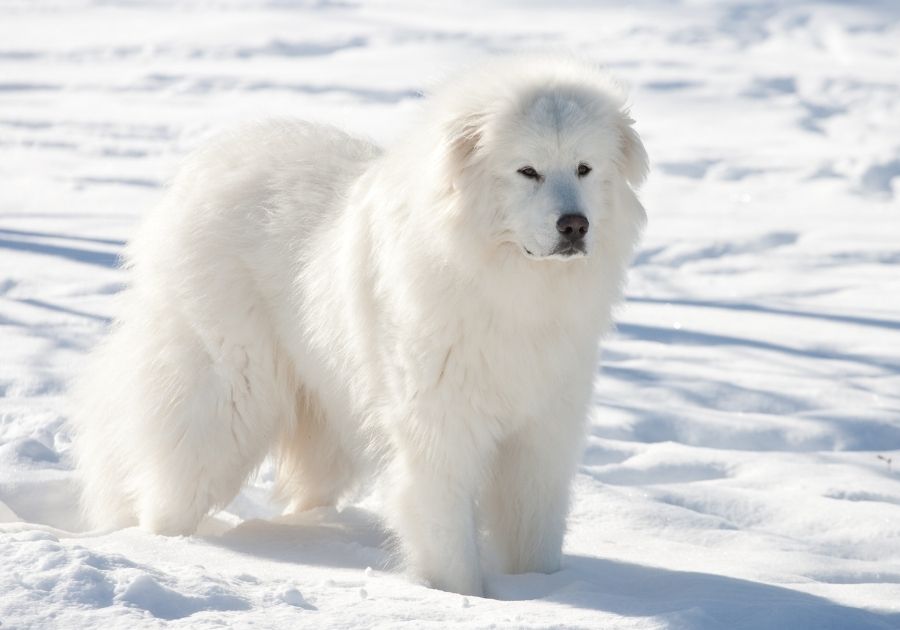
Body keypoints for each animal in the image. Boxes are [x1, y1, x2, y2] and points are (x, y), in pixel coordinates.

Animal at [72, 55, 648, 596]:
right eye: (527, 170)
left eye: (584, 168)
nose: (574, 226)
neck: (508, 286)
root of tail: (203, 167)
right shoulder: (438, 431)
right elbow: (447, 537)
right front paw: (461, 598)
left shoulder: (542, 434)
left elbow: (536, 531)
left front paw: (542, 590)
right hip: (229, 398)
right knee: (174, 480)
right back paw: (162, 549)